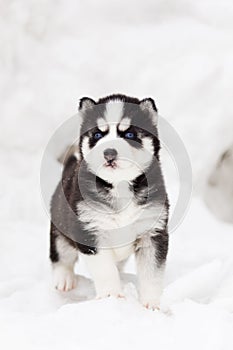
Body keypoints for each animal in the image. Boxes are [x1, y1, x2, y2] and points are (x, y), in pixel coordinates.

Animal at [49, 94, 169, 310]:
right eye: (98, 135)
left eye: (129, 134)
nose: (109, 152)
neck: (119, 186)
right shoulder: (90, 232)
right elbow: (105, 270)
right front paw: (111, 296)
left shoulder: (153, 234)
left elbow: (152, 274)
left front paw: (151, 304)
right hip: (60, 226)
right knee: (61, 255)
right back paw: (64, 279)